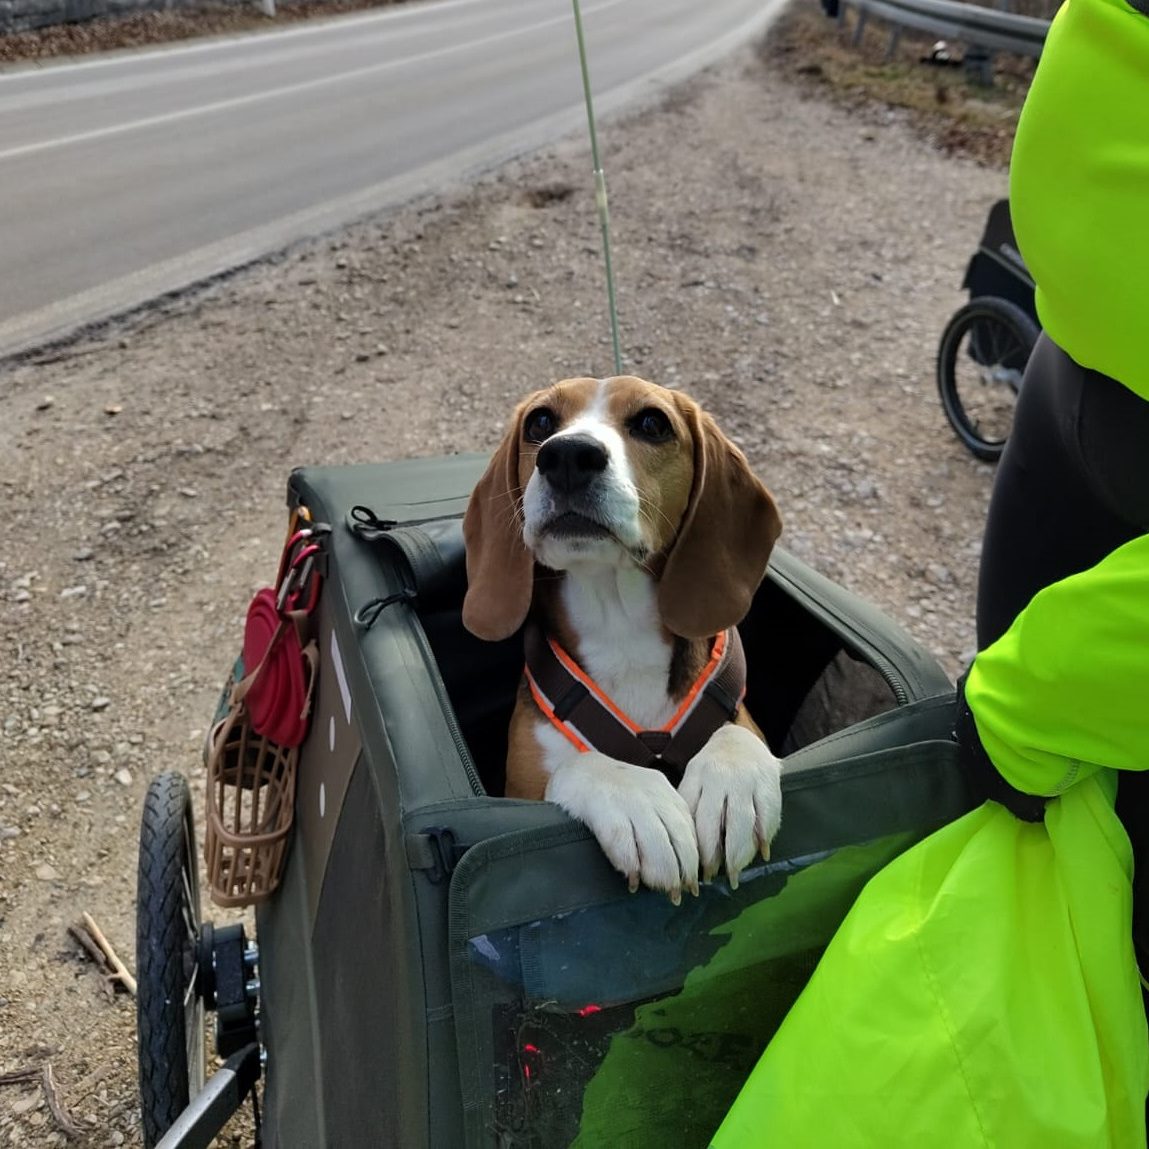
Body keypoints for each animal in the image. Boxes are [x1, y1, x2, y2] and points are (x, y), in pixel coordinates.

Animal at [461, 374, 785, 896]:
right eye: (540, 422)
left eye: (653, 423)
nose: (567, 455)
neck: (618, 627)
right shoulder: (520, 793)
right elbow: (579, 764)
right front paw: (638, 801)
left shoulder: (737, 713)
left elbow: (736, 732)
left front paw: (731, 784)